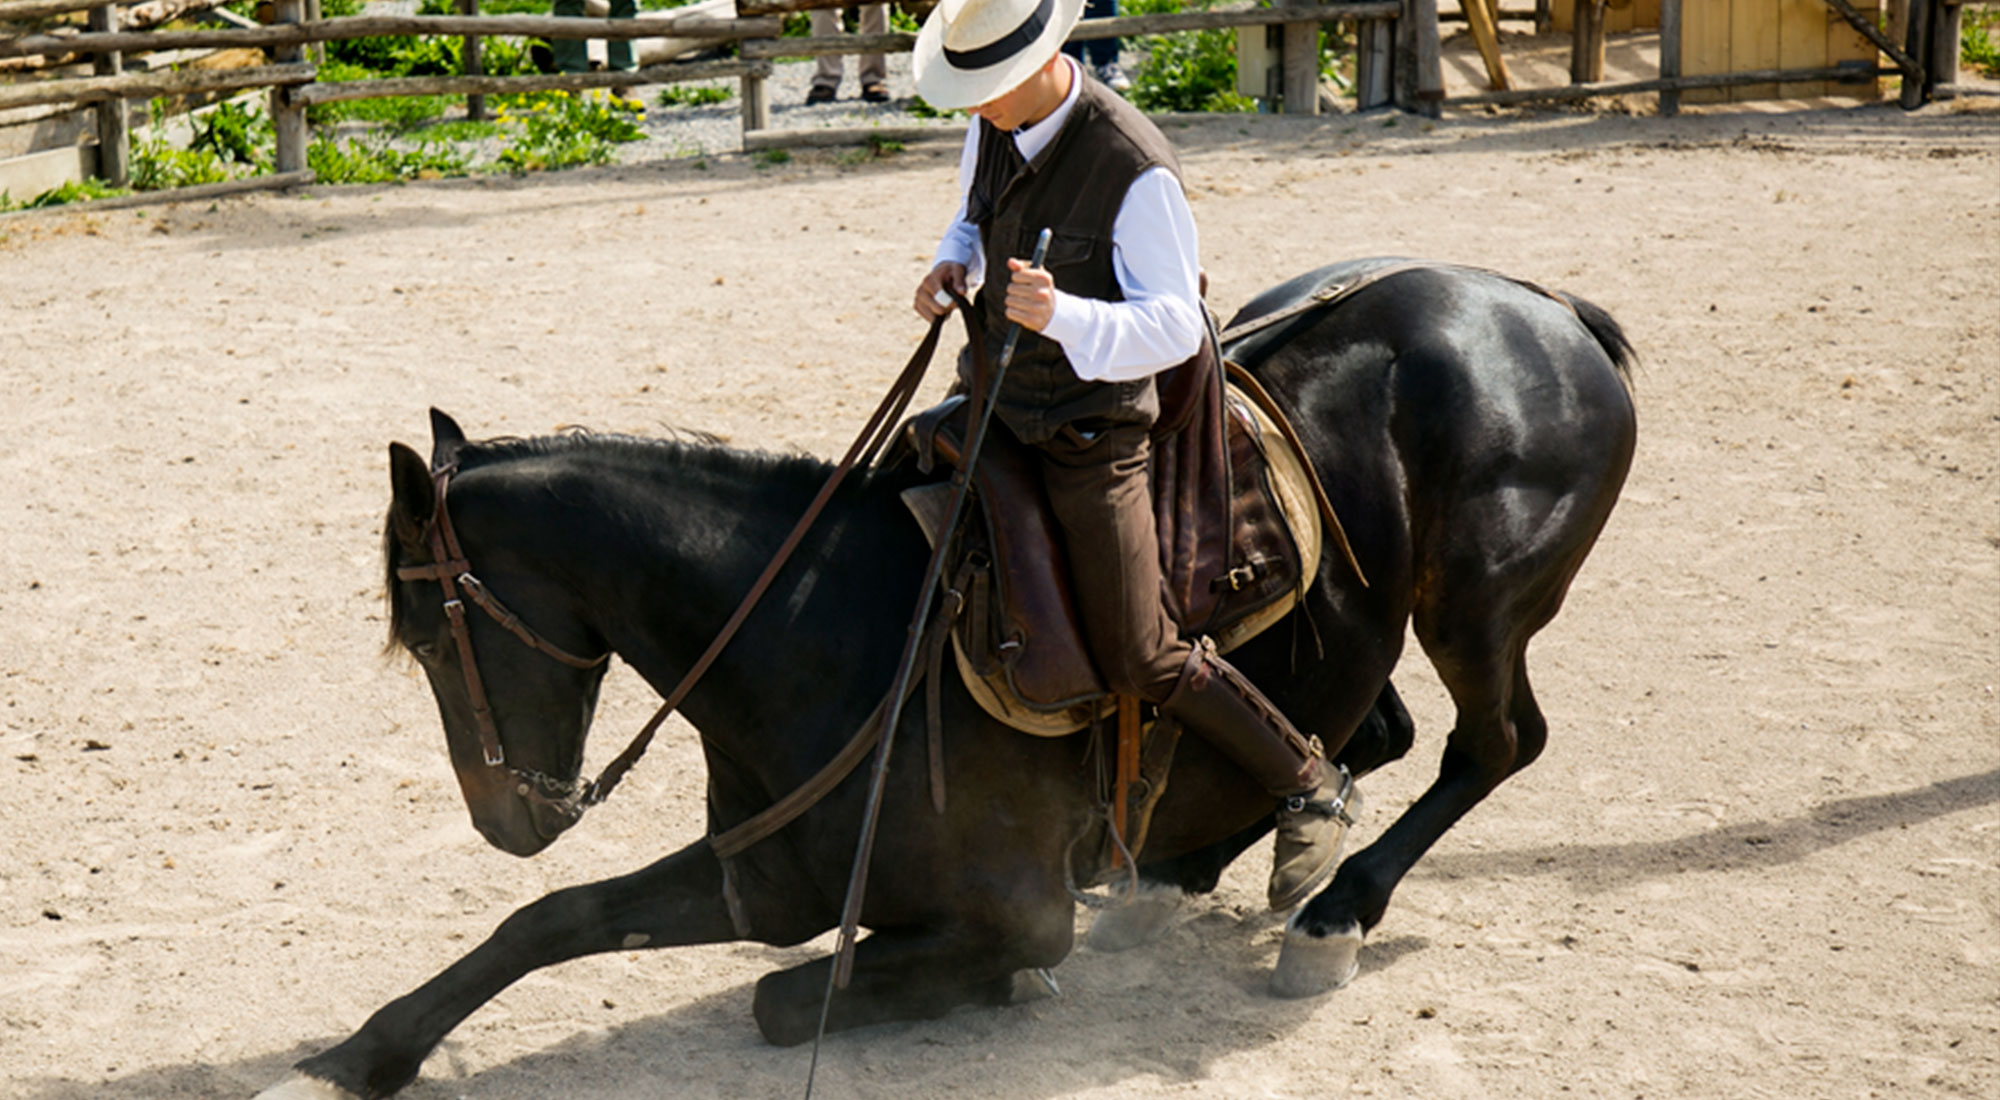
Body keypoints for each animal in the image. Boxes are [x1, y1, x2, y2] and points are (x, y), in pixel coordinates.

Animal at [254, 260, 1624, 1100]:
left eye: (430, 631)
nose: (507, 818)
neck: (827, 631)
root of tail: (1535, 304)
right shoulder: (764, 875)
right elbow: (550, 921)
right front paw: (352, 1055)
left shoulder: (997, 906)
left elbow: (788, 995)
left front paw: (1015, 981)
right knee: (1362, 733)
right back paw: (1200, 863)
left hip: (1475, 608)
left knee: (1488, 744)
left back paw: (1333, 910)